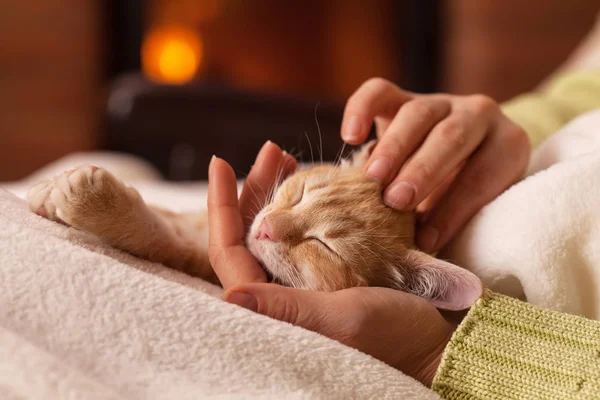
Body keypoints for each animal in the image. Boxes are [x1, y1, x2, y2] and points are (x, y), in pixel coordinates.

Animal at [27, 142, 482, 310]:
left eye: (324, 246)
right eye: (302, 192)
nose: (266, 228)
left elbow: (163, 239)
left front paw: (86, 200)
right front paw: (49, 191)